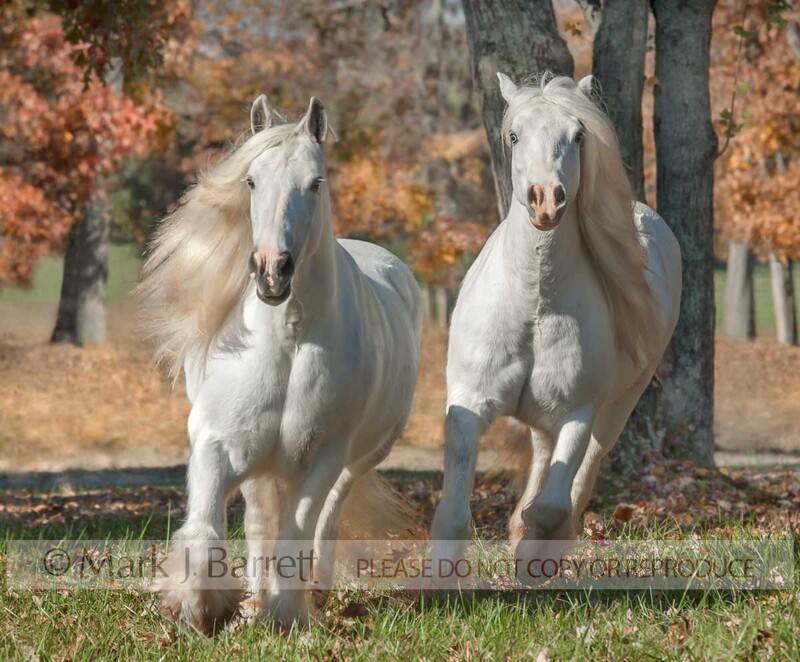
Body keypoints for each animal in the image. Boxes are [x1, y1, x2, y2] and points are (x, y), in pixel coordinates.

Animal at [137, 95, 423, 632]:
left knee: (327, 515)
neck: (286, 341)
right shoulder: (216, 444)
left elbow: (298, 531)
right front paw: (200, 608)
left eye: (315, 182)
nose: (272, 270)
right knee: (258, 521)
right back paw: (251, 595)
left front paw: (286, 615)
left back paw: (315, 590)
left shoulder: (321, 459)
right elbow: (207, 524)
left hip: (359, 457)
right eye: (251, 180)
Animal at [430, 73, 682, 577]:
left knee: (585, 467)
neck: (534, 304)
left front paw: (533, 556)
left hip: (618, 405)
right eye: (514, 136)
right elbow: (453, 510)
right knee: (544, 453)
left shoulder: (578, 412)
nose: (546, 200)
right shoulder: (469, 401)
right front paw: (437, 579)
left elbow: (552, 503)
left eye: (578, 135)